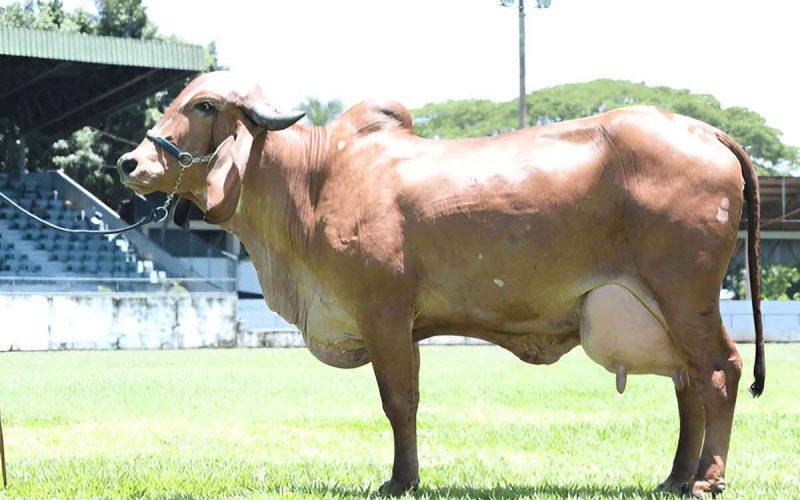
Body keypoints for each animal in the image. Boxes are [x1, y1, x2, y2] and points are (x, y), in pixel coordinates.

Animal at [117, 71, 764, 497]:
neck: (312, 180)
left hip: (686, 295)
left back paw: (707, 479)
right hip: (667, 308)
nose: (130, 164)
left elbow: (399, 402)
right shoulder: (402, 324)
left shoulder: (383, 312)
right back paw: (676, 477)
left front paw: (401, 481)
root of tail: (705, 132)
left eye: (203, 105)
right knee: (688, 385)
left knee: (719, 372)